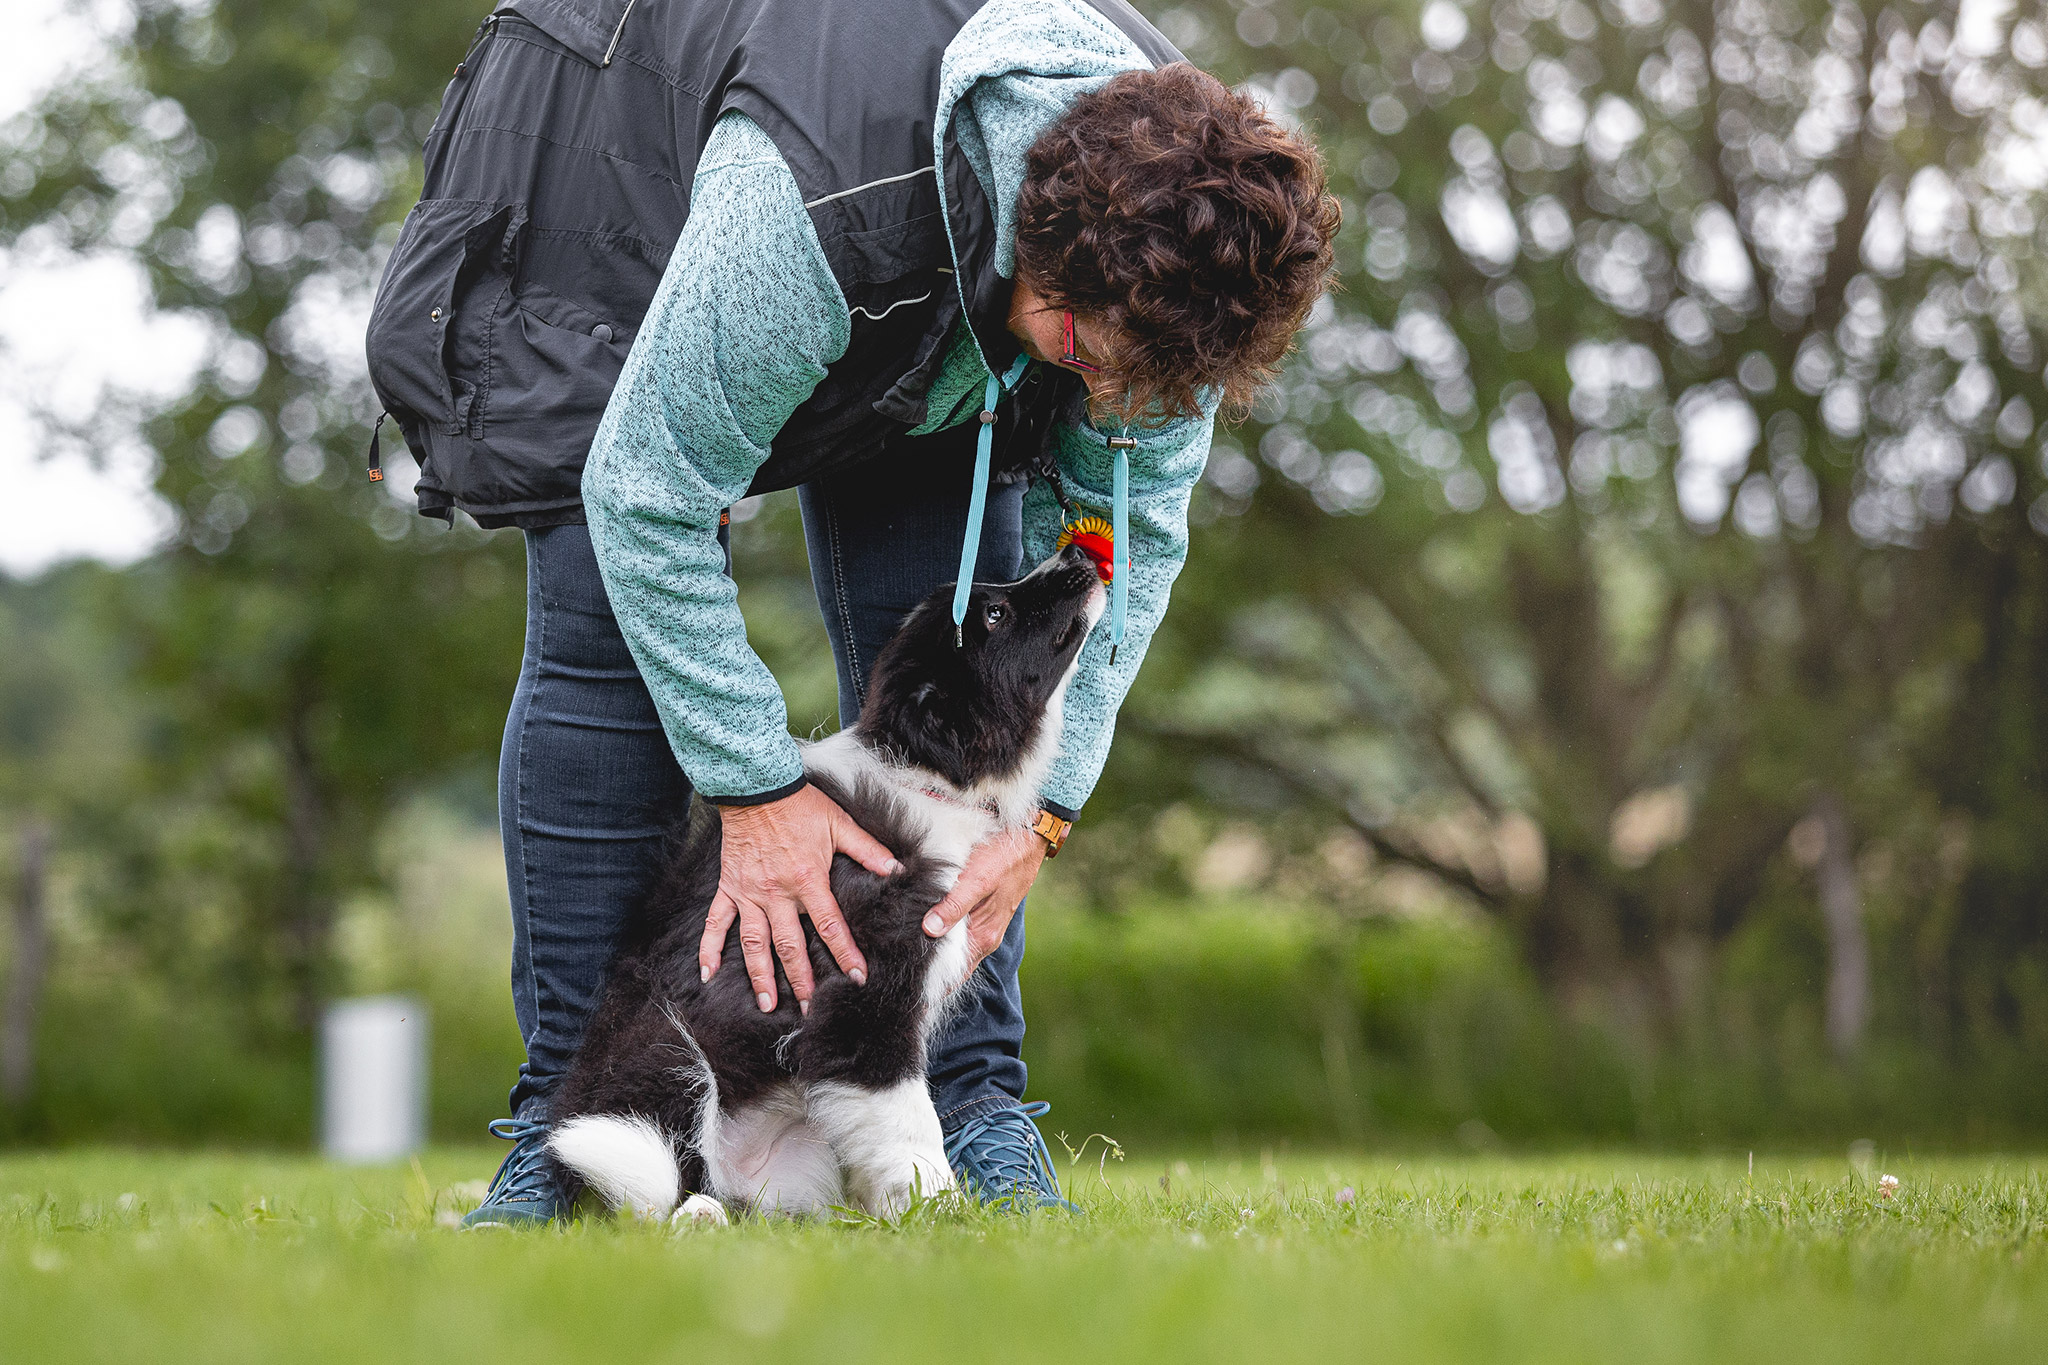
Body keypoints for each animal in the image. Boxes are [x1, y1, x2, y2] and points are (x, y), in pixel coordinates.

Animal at [540, 540, 1105, 1219]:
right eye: (995, 615)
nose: (1078, 552)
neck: (929, 776)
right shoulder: (861, 997)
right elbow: (911, 1124)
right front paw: (946, 1218)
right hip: (668, 1056)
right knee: (656, 1185)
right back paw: (692, 1216)